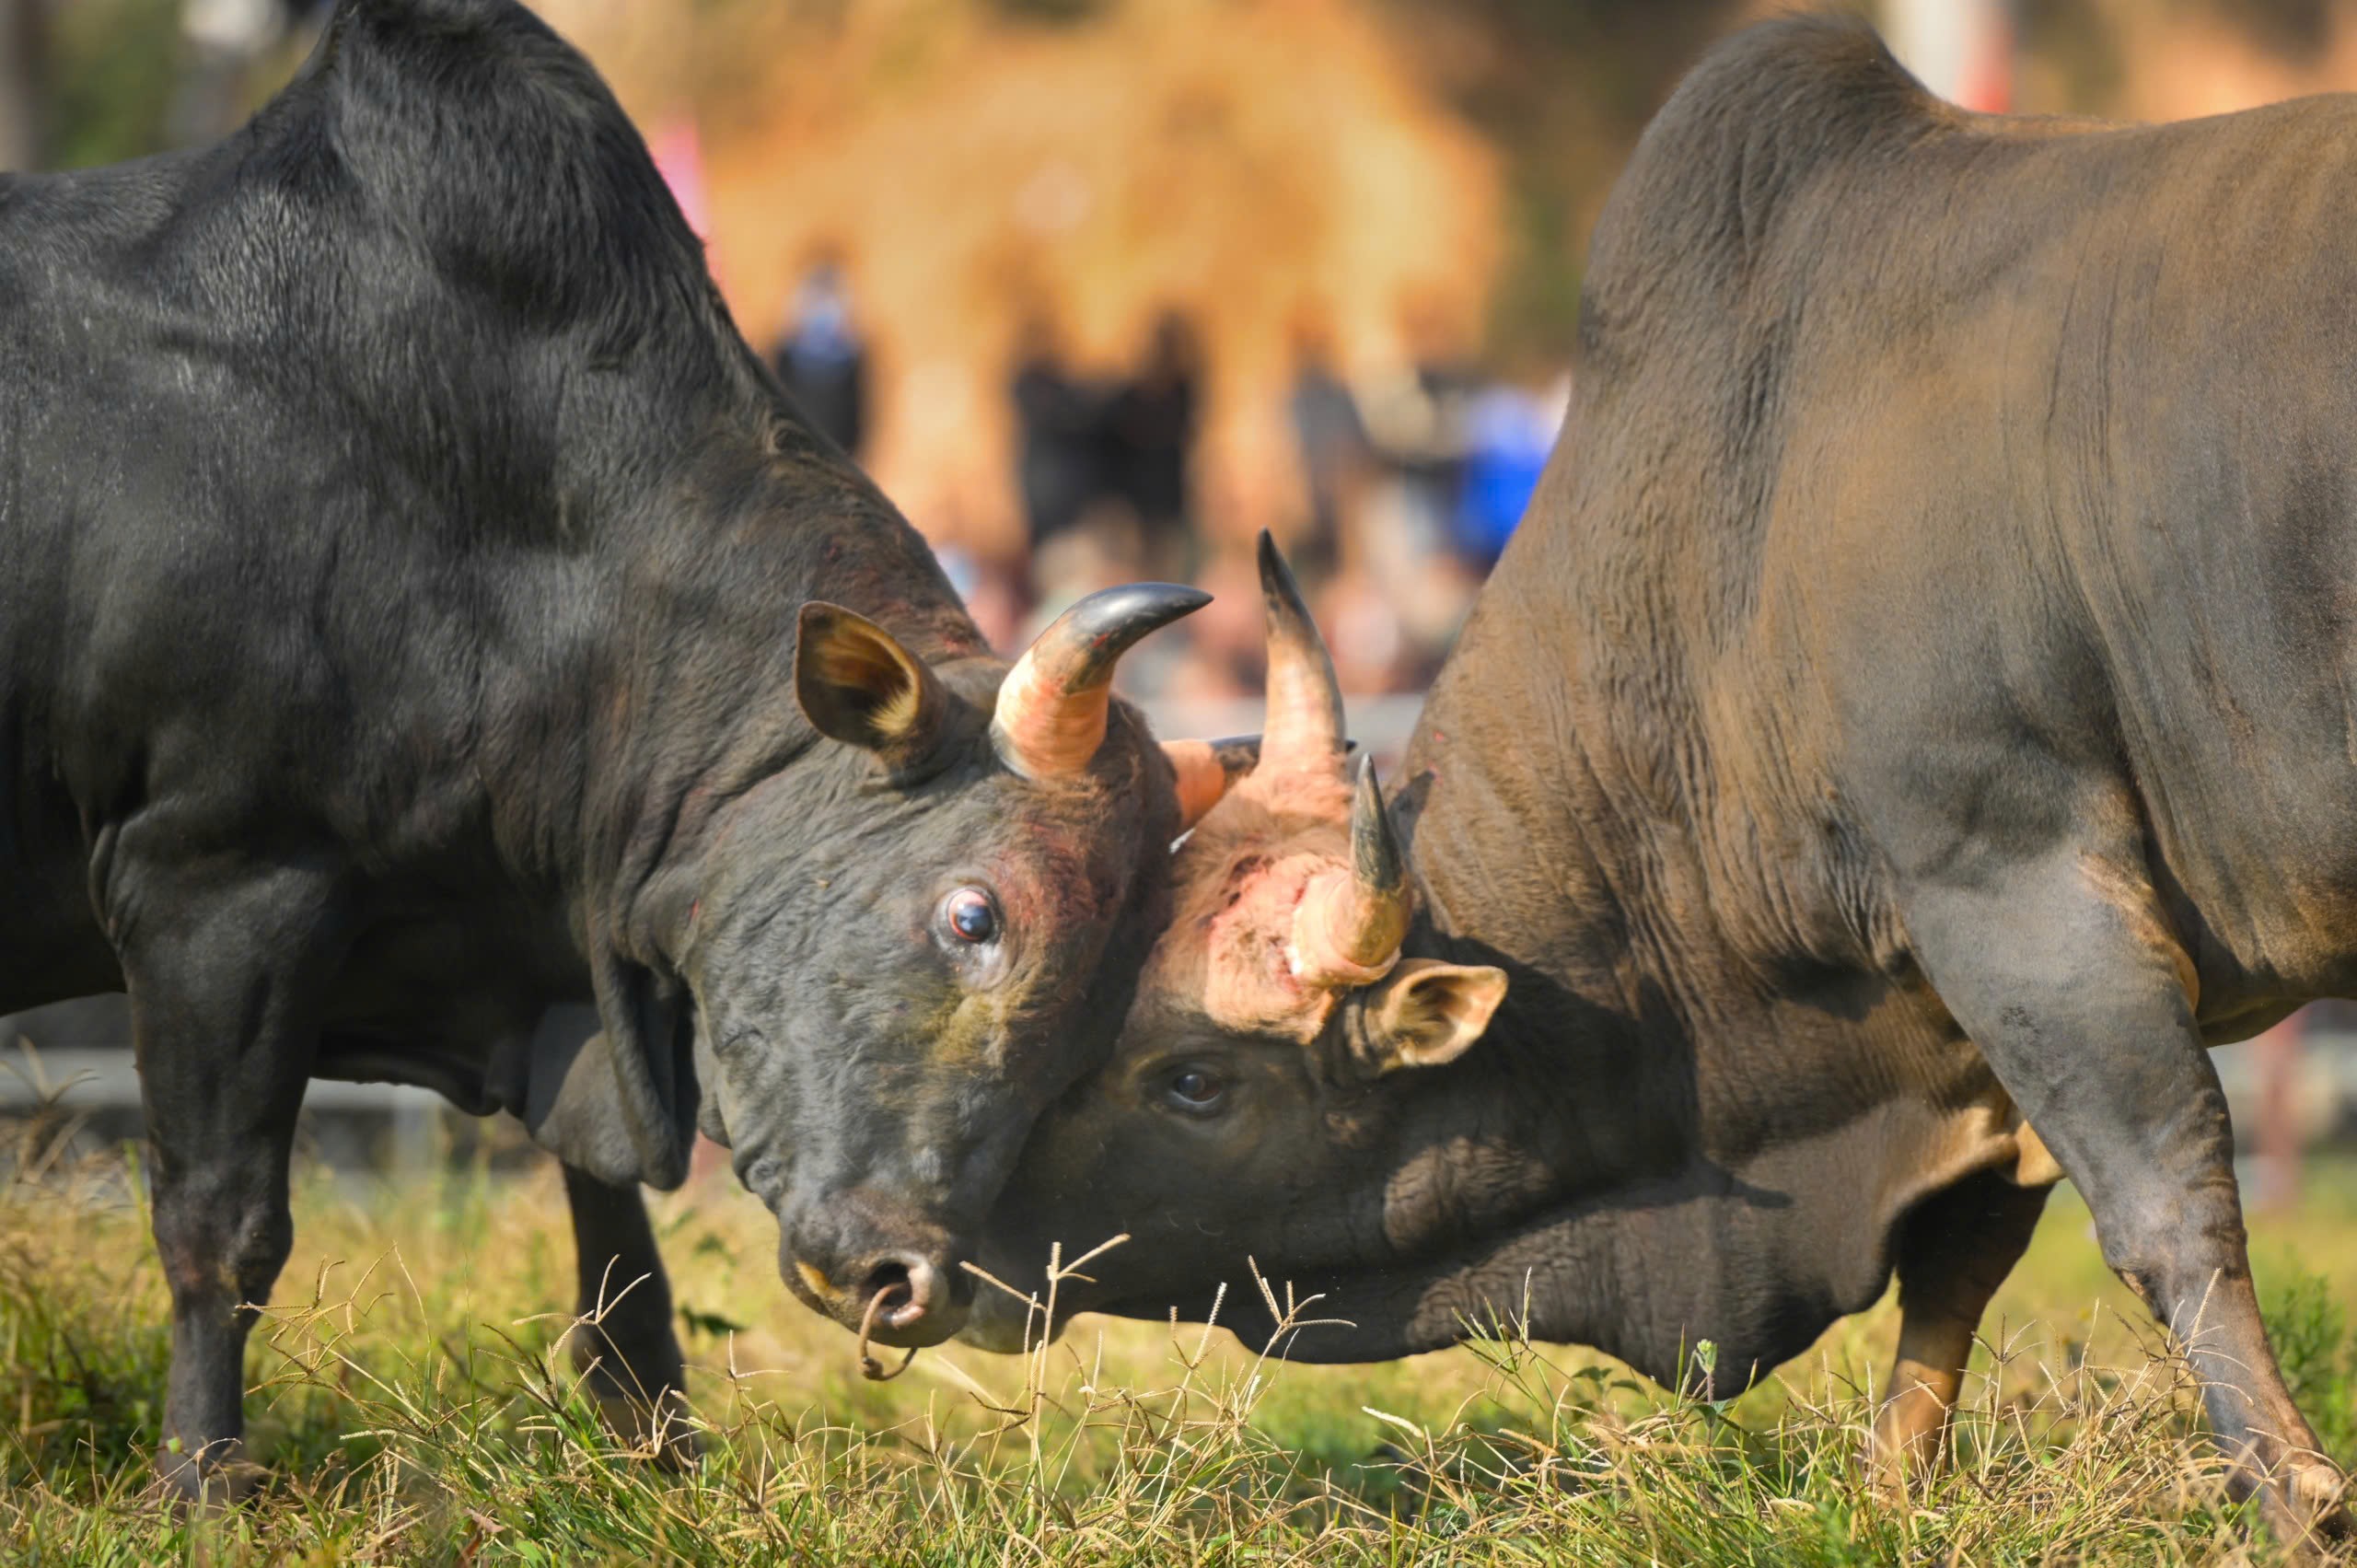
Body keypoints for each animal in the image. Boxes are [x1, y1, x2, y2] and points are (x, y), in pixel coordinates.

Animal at [0, 0, 1225, 1499]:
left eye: (1111, 1001)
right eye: (973, 913)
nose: (917, 1280)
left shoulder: (565, 968)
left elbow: (626, 1269)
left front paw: (664, 1461)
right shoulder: (213, 886)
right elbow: (219, 1223)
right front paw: (204, 1486)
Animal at [980, 17, 2357, 1546]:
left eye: (1194, 1079)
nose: (948, 1237)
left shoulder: (2013, 878)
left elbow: (2162, 1201)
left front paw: (2298, 1494)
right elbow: (1962, 1258)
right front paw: (1892, 1488)